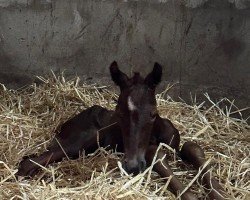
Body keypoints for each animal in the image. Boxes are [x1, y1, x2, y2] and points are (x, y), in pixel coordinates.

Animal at [16, 61, 230, 199]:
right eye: (119, 114)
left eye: (153, 113)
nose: (133, 166)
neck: (156, 134)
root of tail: (65, 124)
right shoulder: (150, 152)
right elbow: (160, 159)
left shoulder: (177, 142)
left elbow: (193, 149)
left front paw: (220, 193)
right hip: (84, 139)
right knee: (30, 161)